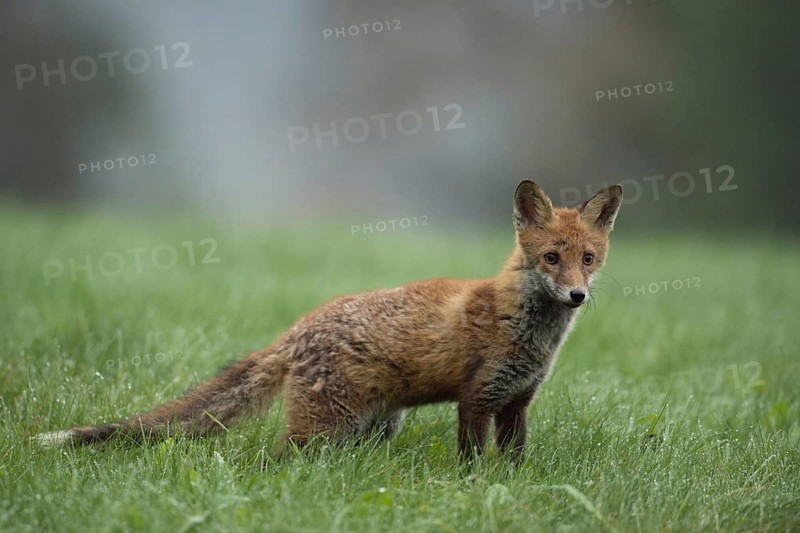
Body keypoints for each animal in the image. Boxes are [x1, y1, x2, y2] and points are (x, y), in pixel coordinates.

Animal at [34, 180, 622, 461]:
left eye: (588, 258)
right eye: (551, 258)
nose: (576, 295)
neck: (528, 332)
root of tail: (300, 325)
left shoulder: (516, 403)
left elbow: (514, 464)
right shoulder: (476, 399)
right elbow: (473, 463)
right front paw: (475, 493)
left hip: (372, 427)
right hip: (325, 427)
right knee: (274, 460)